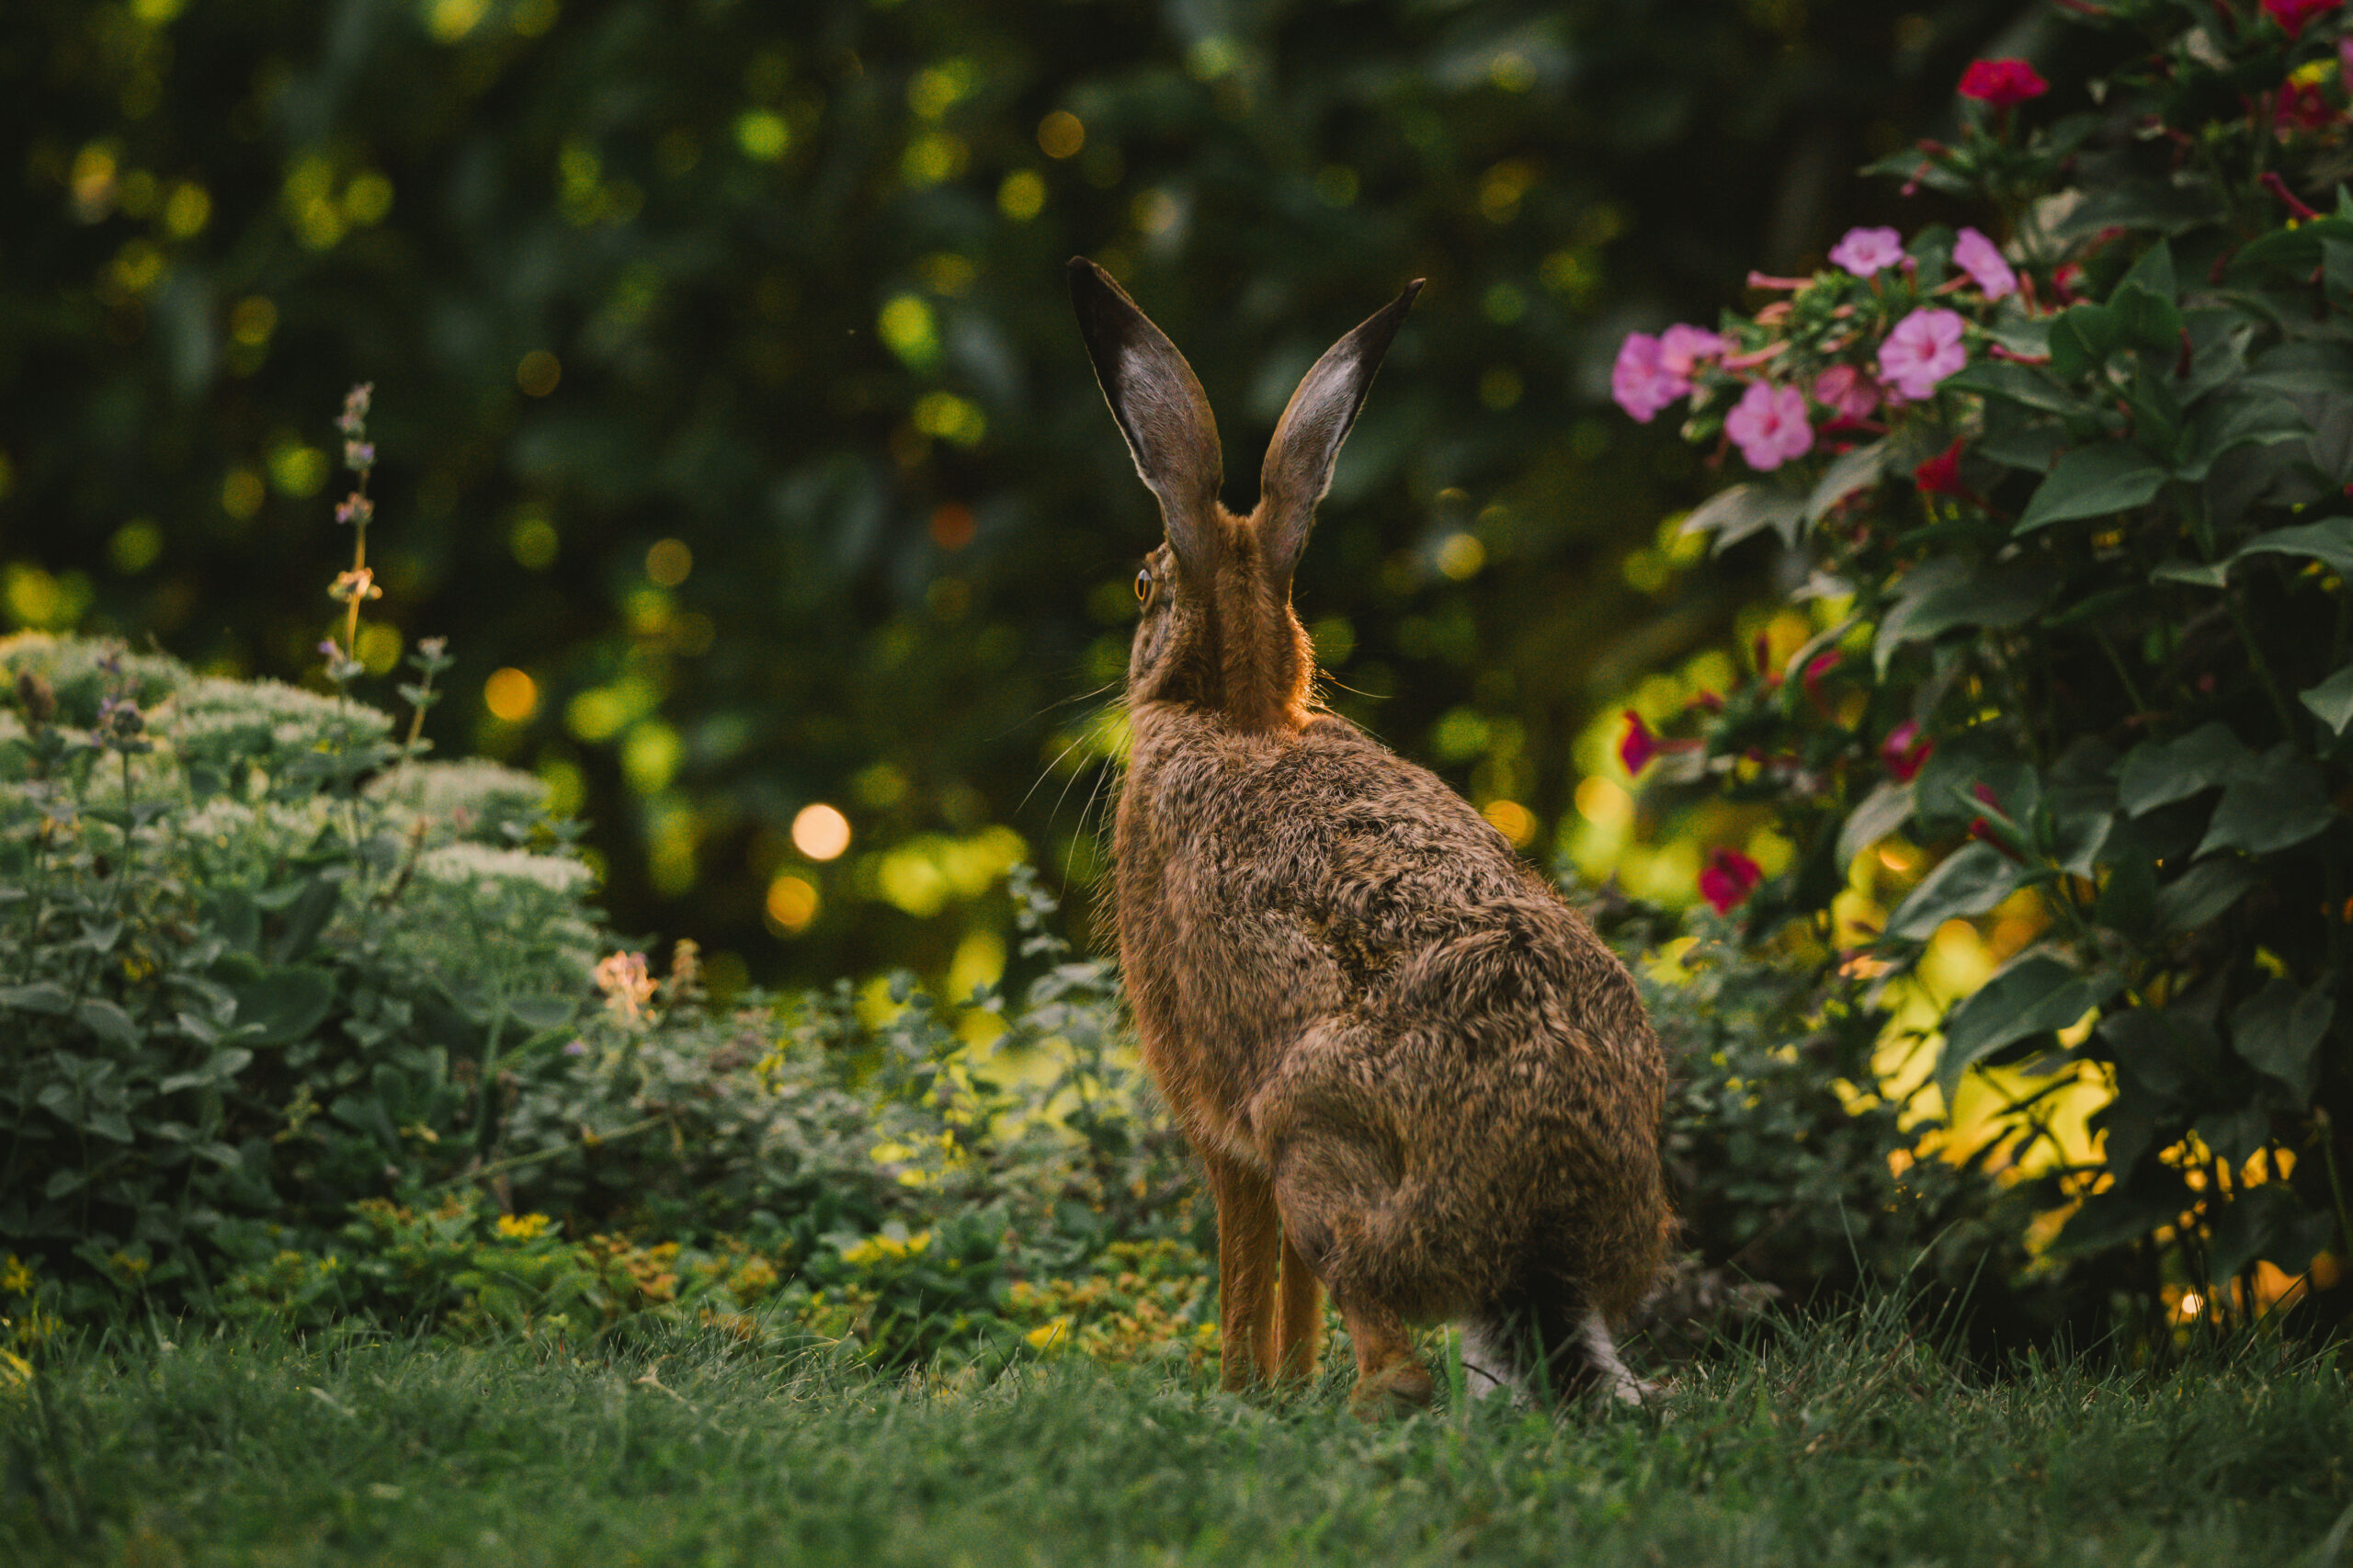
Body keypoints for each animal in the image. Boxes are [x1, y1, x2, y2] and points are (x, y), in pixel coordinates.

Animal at [1067, 257, 1672, 1415]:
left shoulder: (1217, 1115)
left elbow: (1243, 1264)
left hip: (1313, 1147)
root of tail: (1537, 1225)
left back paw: (1359, 1405)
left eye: (1141, 584)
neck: (1238, 711)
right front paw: (1282, 1390)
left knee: (1397, 1363)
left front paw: (1239, 1393)